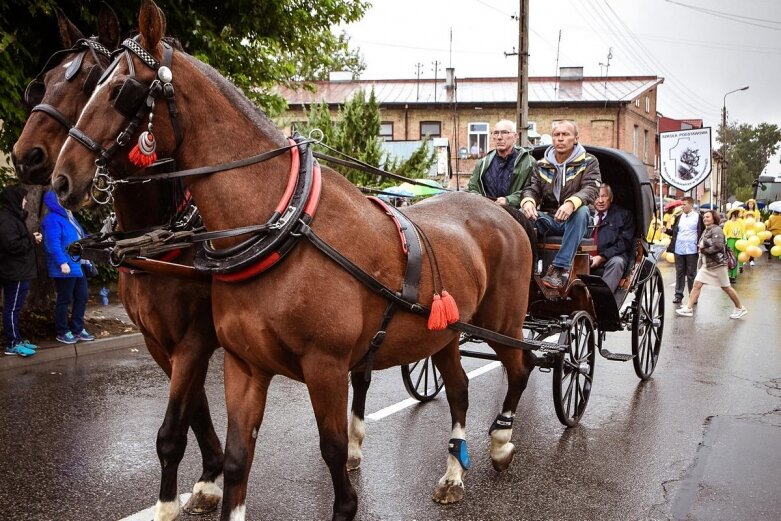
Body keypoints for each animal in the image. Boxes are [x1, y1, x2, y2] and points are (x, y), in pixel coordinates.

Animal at [12, 6, 225, 516]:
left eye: (92, 81)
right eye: (44, 82)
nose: (26, 157)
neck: (165, 231)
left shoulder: (195, 338)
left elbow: (174, 428)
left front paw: (181, 494)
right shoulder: (158, 340)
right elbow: (195, 409)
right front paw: (211, 475)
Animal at [50, 2, 536, 516]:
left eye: (118, 90)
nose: (60, 179)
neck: (282, 228)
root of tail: (500, 210)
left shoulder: (322, 366)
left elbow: (333, 449)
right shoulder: (242, 364)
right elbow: (237, 458)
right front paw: (212, 489)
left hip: (501, 322)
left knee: (520, 367)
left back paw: (501, 440)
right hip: (443, 332)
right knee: (460, 389)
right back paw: (453, 473)